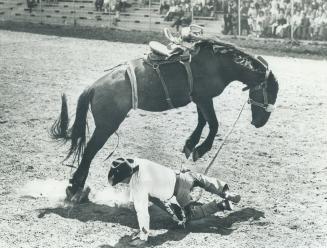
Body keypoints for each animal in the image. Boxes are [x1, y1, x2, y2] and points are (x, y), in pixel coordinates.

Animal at [50, 29, 280, 203]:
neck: (219, 63)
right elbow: (213, 124)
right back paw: (75, 189)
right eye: (270, 91)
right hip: (106, 126)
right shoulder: (204, 98)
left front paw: (190, 145)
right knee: (89, 152)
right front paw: (200, 149)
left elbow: (203, 121)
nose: (260, 122)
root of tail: (93, 87)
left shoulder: (199, 99)